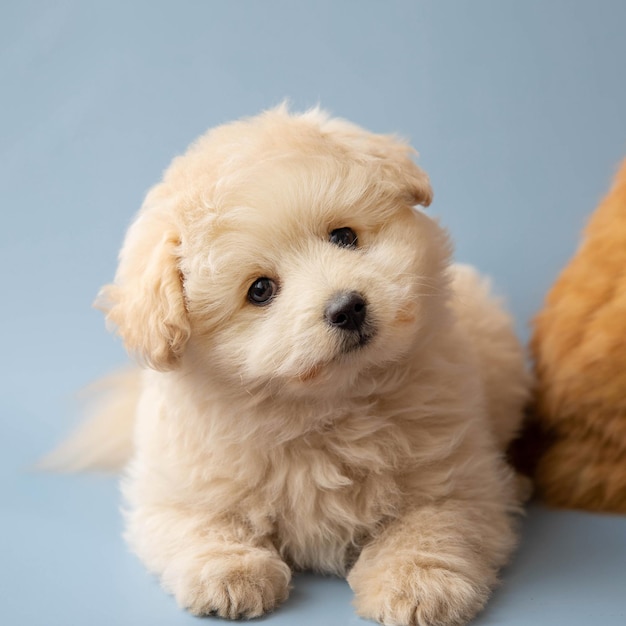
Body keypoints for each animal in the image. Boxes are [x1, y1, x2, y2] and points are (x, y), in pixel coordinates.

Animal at [59, 107, 528, 624]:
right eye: (260, 290)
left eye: (344, 236)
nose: (347, 307)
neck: (325, 410)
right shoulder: (178, 483)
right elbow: (201, 522)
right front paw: (229, 572)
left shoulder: (455, 473)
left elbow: (434, 522)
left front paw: (418, 581)